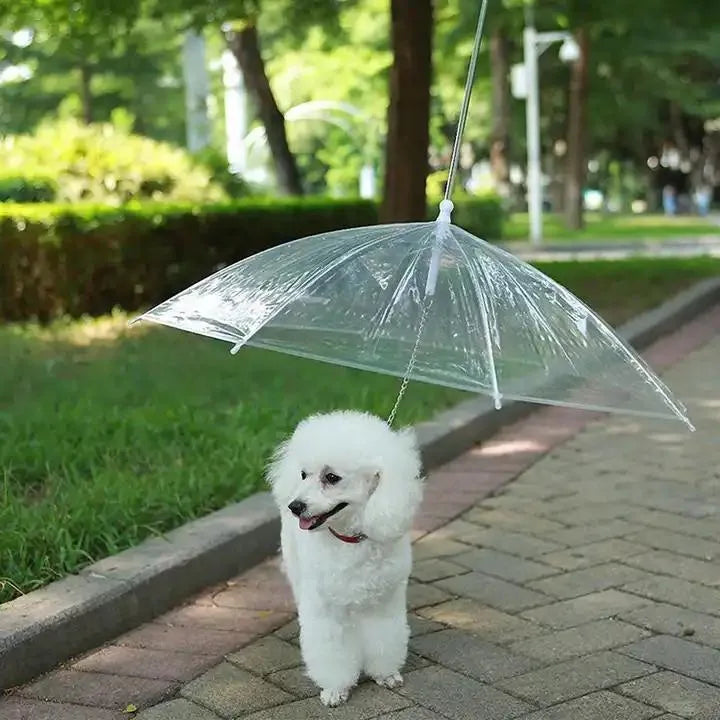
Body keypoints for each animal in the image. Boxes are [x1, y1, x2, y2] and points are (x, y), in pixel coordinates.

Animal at [268, 408, 424, 704]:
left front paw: (385, 674)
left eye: (331, 478)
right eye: (304, 474)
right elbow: (330, 651)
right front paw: (335, 689)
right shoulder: (326, 610)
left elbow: (385, 638)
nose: (296, 506)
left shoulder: (384, 604)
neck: (350, 540)